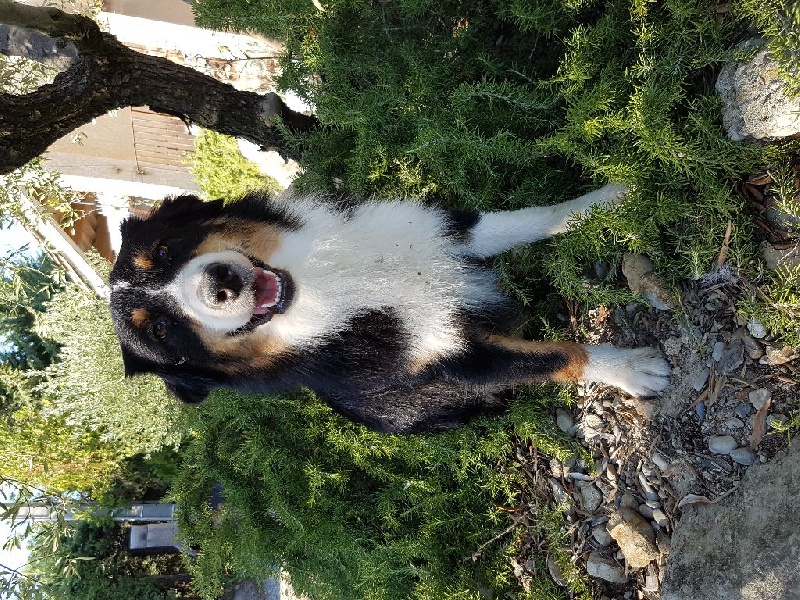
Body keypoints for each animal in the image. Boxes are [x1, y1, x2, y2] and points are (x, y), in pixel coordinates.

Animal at [108, 185, 668, 434]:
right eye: (162, 330)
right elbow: (559, 356)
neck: (327, 282)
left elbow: (529, 218)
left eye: (164, 251)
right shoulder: (452, 363)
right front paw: (630, 368)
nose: (219, 284)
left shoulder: (434, 232)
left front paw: (607, 200)